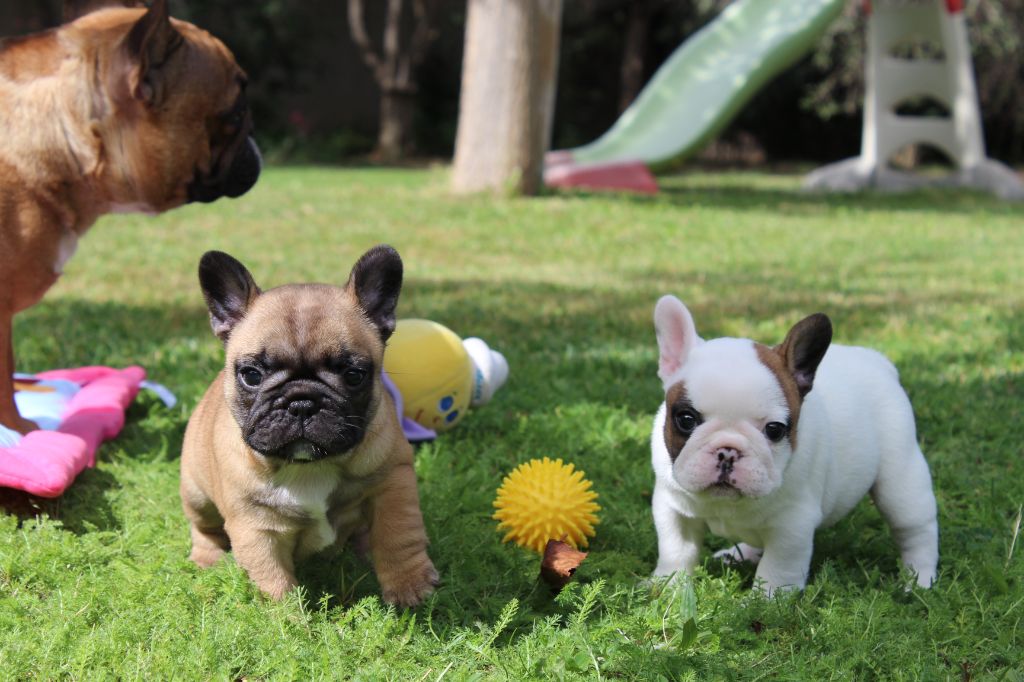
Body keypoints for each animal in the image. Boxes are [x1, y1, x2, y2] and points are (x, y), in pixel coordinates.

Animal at [182, 245, 438, 606]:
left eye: (354, 375)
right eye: (252, 375)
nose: (302, 402)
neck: (309, 466)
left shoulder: (393, 483)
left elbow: (398, 535)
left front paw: (409, 585)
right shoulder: (255, 528)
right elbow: (274, 581)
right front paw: (289, 617)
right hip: (196, 494)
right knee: (204, 528)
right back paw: (207, 561)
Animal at [651, 294, 937, 593]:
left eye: (774, 430)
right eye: (686, 419)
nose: (728, 452)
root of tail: (877, 361)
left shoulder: (792, 527)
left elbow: (776, 570)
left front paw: (762, 600)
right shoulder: (672, 510)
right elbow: (676, 550)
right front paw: (667, 587)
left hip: (900, 482)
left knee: (916, 529)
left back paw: (918, 580)